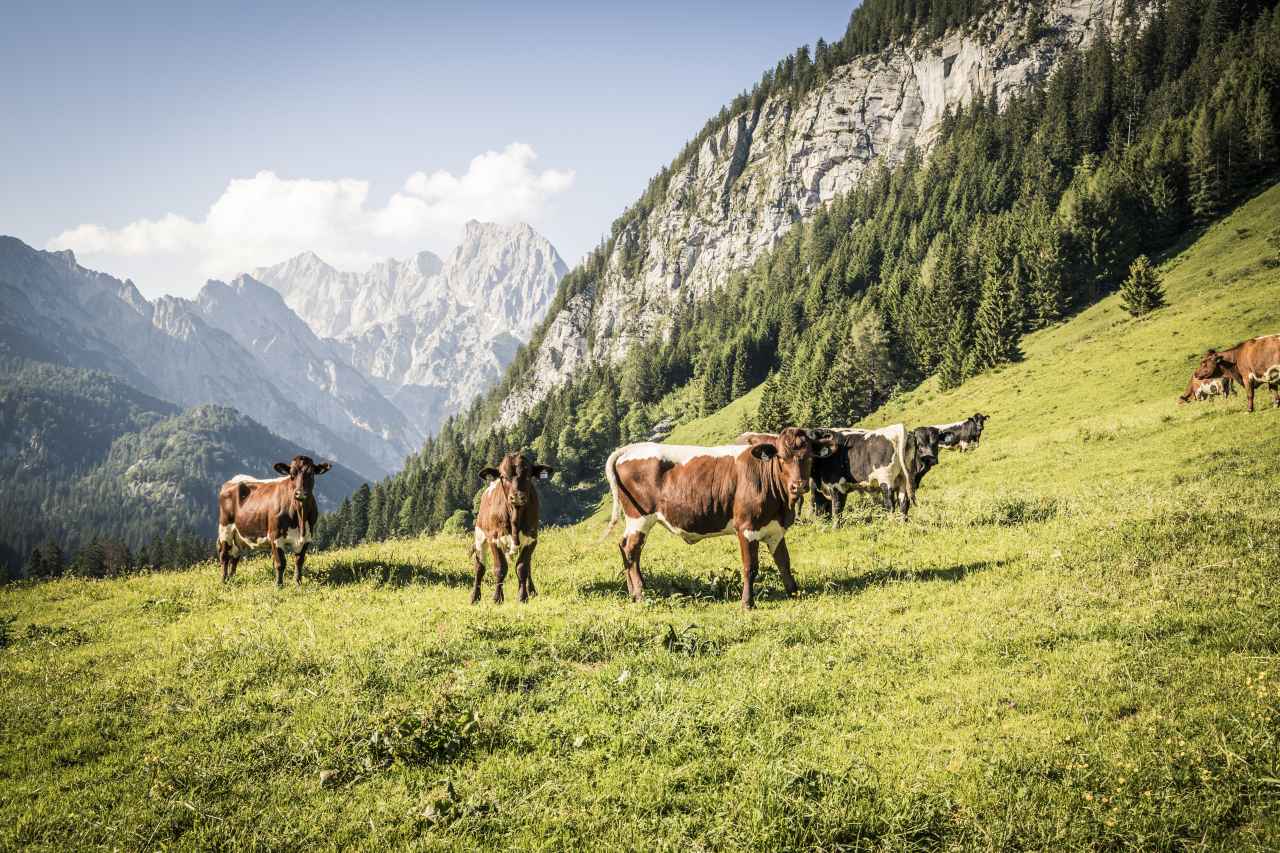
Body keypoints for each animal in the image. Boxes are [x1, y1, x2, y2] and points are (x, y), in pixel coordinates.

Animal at [217, 450, 332, 584]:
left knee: (235, 556)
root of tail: (233, 479)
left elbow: (299, 562)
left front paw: (298, 583)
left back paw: (232, 579)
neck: (300, 517)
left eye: (311, 473)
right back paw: (224, 581)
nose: (300, 493)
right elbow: (280, 563)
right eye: (292, 474)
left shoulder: (307, 537)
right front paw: (279, 585)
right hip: (225, 529)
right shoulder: (275, 536)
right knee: (224, 556)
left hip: (238, 535)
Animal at [471, 450, 550, 604]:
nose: (517, 496)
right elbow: (500, 568)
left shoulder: (532, 538)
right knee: (479, 567)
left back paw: (532, 590)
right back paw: (474, 597)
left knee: (528, 565)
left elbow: (522, 567)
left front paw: (523, 596)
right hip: (480, 536)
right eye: (503, 476)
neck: (515, 517)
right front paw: (497, 598)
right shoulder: (494, 539)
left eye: (528, 474)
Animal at [606, 427, 839, 607]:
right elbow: (750, 567)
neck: (781, 505)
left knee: (625, 547)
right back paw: (640, 594)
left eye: (809, 457)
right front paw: (747, 603)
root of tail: (631, 449)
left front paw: (794, 593)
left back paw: (633, 592)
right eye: (781, 457)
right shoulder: (747, 528)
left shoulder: (775, 530)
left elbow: (784, 562)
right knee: (631, 550)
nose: (798, 486)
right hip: (640, 517)